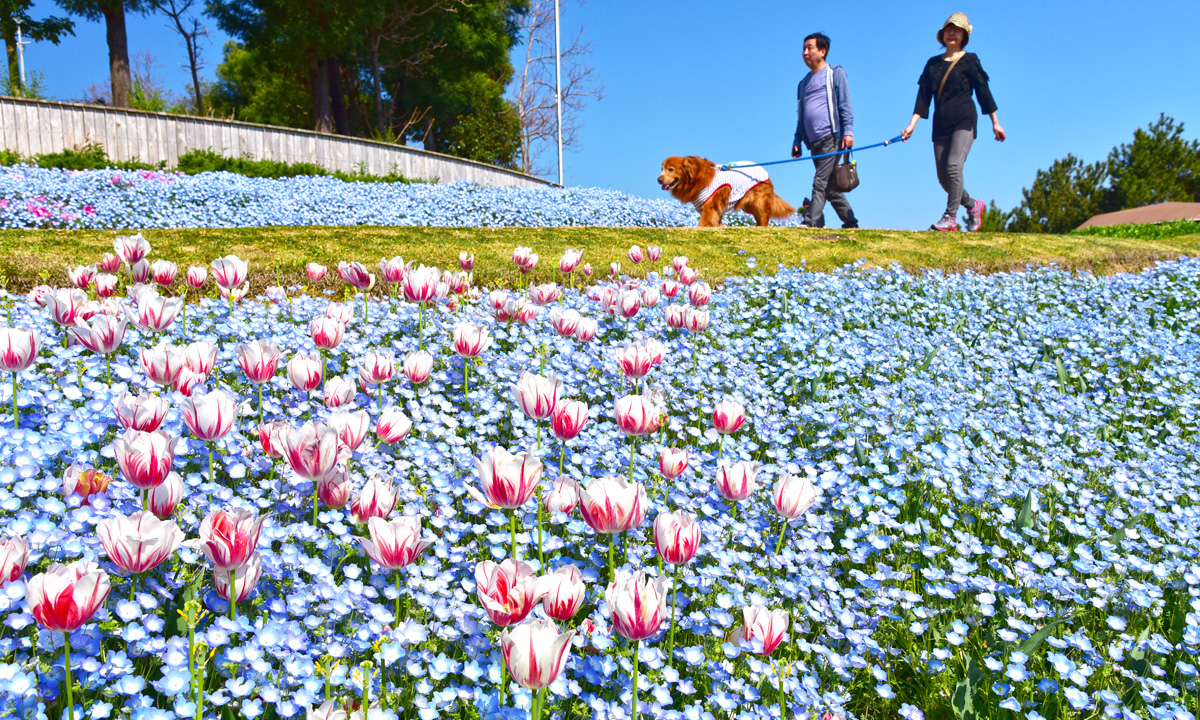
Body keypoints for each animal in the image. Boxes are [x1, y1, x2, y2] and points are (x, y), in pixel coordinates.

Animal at [662, 156, 792, 226]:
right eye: (662, 169)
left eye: (671, 169)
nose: (659, 179)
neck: (697, 178)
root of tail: (763, 170)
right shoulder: (715, 207)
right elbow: (716, 220)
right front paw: (720, 226)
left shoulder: (709, 204)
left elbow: (703, 222)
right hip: (748, 205)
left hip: (758, 201)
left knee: (764, 215)